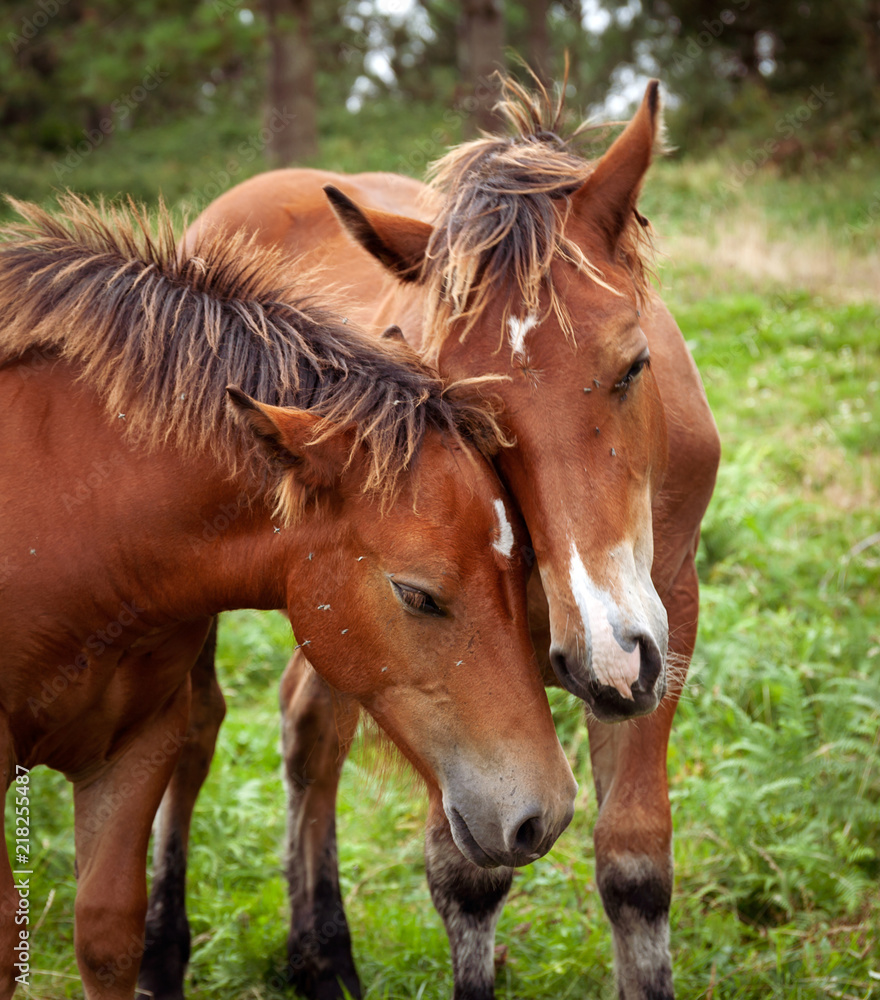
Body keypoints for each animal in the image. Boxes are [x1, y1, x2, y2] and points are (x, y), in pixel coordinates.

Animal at [155, 78, 720, 1000]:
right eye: (463, 408)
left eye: (635, 364)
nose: (600, 653)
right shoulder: (459, 674)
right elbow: (470, 875)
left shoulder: (663, 615)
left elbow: (636, 868)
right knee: (194, 733)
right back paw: (164, 950)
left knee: (310, 727)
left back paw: (322, 956)